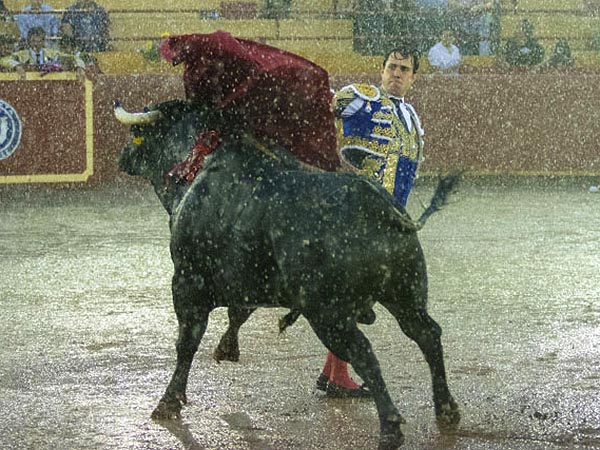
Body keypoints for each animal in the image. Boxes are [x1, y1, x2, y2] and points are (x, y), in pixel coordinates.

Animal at [118, 99, 464, 450]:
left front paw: (168, 402)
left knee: (363, 352)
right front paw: (227, 348)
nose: (123, 157)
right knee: (427, 334)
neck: (199, 165)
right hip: (405, 294)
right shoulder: (248, 282)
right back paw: (446, 409)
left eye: (136, 135)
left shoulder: (187, 282)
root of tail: (378, 206)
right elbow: (238, 313)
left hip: (328, 313)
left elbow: (187, 342)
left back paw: (391, 427)